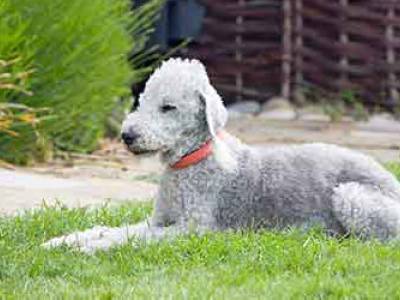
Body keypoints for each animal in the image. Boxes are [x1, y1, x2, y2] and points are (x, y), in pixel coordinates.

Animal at [43, 56, 400, 253]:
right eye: (142, 101)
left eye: (168, 107)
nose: (127, 136)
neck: (190, 161)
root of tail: (391, 180)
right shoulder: (159, 219)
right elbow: (116, 229)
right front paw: (63, 241)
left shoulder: (193, 229)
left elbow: (134, 239)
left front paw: (92, 248)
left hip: (351, 195)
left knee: (381, 239)